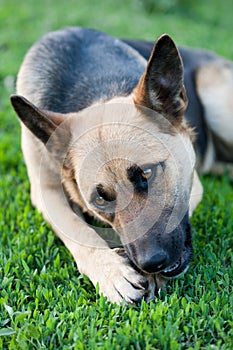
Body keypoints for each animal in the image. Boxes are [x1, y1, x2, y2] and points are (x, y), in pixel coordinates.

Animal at [10, 27, 233, 304]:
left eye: (147, 173)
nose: (152, 263)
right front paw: (112, 272)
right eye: (100, 199)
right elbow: (77, 229)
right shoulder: (46, 193)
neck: (94, 87)